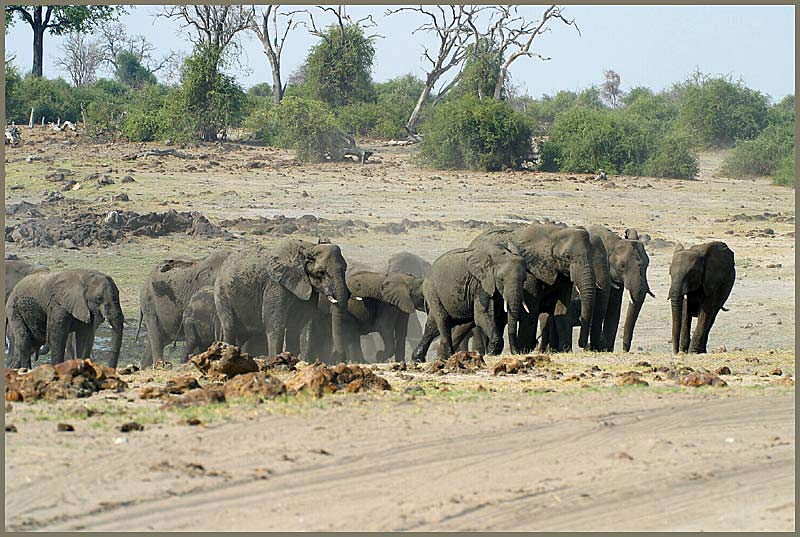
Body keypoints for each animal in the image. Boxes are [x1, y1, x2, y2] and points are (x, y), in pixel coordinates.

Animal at [212, 238, 350, 356]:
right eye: (321, 272)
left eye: (345, 269)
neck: (309, 248)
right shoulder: (275, 286)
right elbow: (274, 324)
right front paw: (276, 359)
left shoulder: (308, 291)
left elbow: (305, 323)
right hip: (221, 293)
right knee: (230, 326)